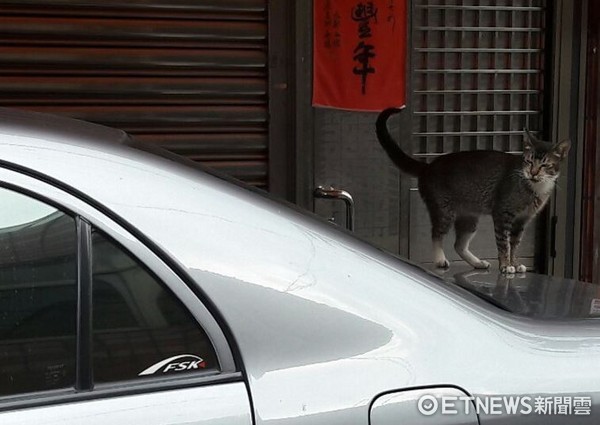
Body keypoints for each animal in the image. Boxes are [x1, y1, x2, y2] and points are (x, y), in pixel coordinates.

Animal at [378, 107, 568, 274]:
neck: (535, 187)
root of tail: (427, 167)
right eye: (529, 161)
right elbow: (504, 243)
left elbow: (515, 244)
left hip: (469, 218)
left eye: (544, 165)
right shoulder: (503, 213)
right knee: (436, 234)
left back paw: (478, 263)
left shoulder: (523, 220)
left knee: (458, 245)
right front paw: (506, 266)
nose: (533, 172)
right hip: (444, 210)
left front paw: (514, 263)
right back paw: (440, 259)